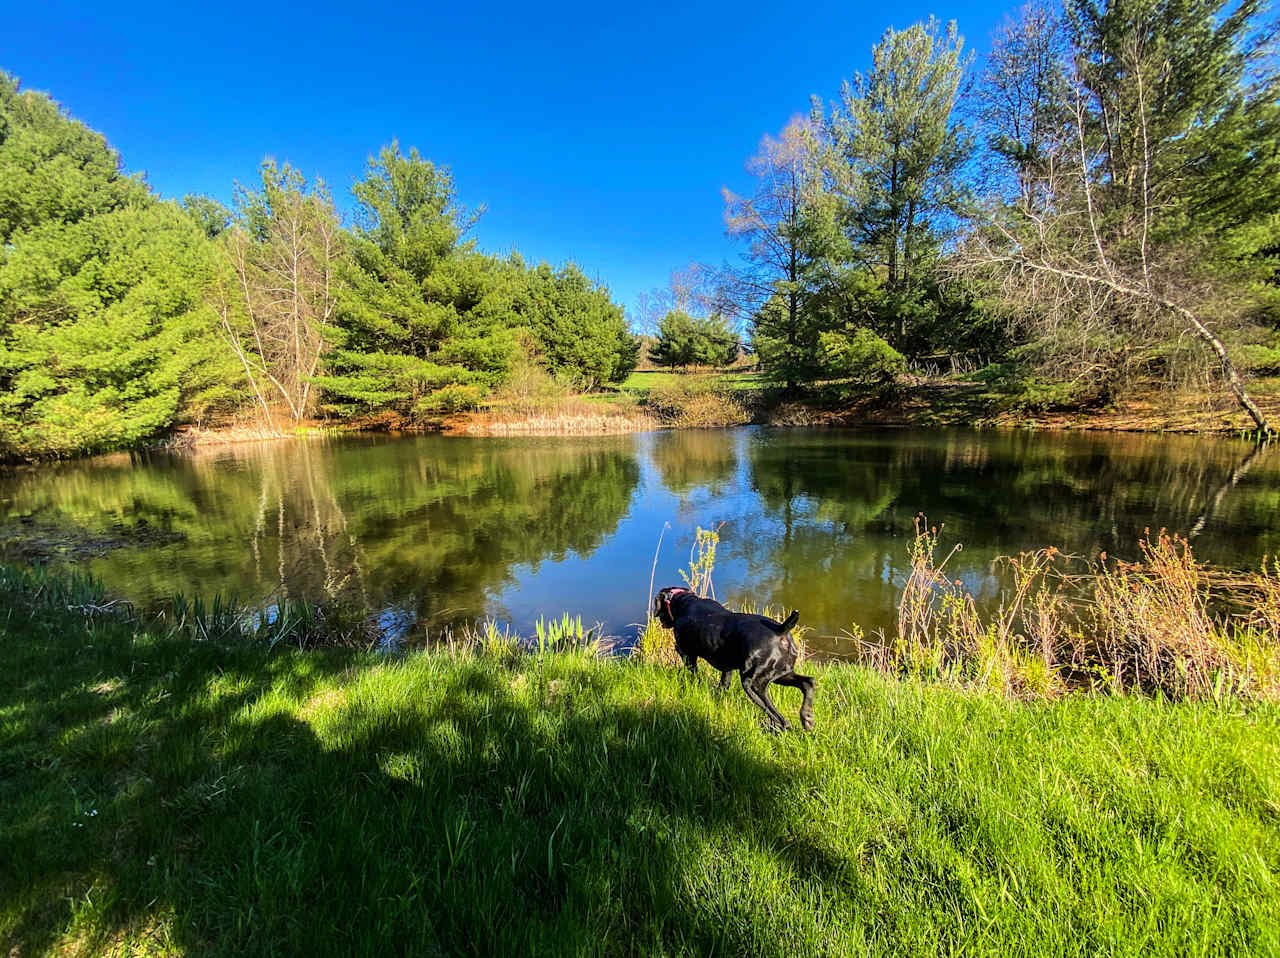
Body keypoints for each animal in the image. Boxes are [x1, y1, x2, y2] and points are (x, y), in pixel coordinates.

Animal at [655, 586, 814, 727]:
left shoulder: (688, 655)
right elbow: (723, 685)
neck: (683, 601)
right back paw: (807, 717)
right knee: (808, 683)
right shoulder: (727, 668)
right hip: (781, 674)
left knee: (780, 719)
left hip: (753, 683)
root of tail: (780, 629)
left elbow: (694, 675)